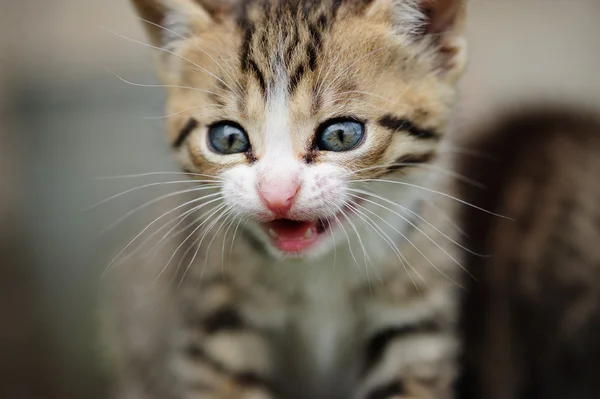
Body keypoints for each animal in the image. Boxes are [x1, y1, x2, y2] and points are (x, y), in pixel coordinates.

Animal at [106, 0, 468, 399]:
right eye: (227, 139)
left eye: (342, 134)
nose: (277, 195)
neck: (321, 270)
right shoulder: (215, 324)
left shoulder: (418, 320)